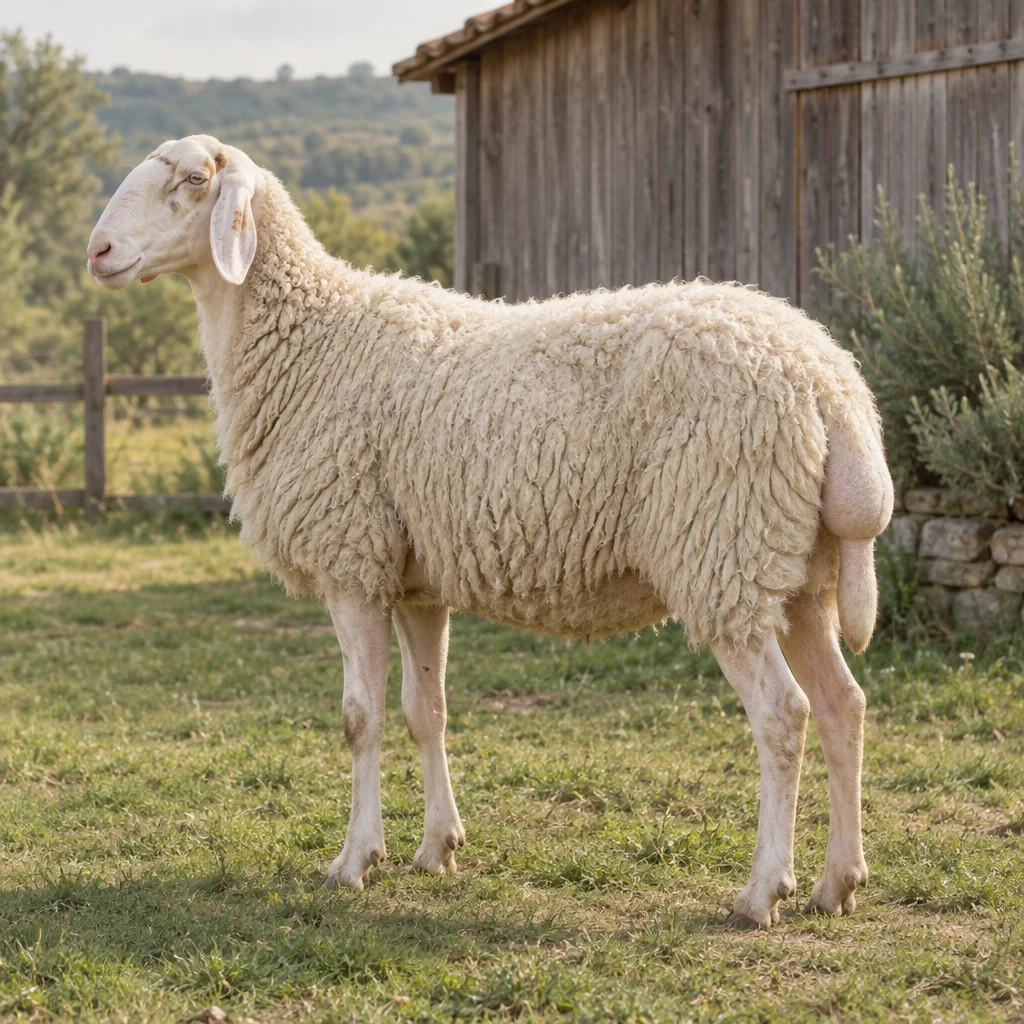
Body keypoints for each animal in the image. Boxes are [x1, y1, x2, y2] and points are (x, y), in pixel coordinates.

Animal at [87, 135, 893, 929]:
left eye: (194, 181)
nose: (97, 251)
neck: (310, 337)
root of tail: (832, 383)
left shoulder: (352, 561)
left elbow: (359, 719)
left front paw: (354, 862)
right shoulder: (414, 580)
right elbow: (425, 712)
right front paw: (436, 848)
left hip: (723, 549)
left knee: (783, 715)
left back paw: (763, 892)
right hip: (796, 569)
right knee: (842, 706)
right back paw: (838, 884)